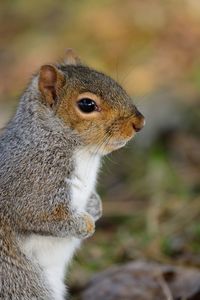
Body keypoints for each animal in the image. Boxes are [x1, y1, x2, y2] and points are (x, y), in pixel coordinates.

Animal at [0, 49, 145, 300]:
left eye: (114, 82)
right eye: (87, 104)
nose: (139, 123)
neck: (85, 154)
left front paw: (95, 207)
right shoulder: (31, 182)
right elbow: (42, 216)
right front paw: (85, 225)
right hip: (20, 285)